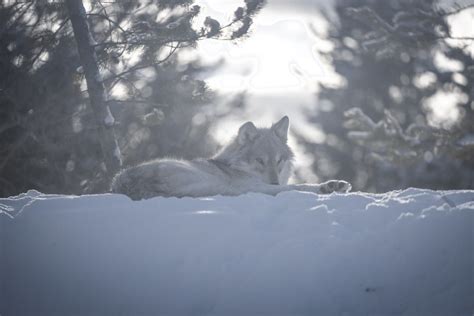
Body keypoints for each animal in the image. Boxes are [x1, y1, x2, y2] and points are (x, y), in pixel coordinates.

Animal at [110, 116, 348, 200]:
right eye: (260, 161)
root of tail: (123, 185)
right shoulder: (253, 186)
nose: (274, 181)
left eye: (279, 160)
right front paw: (329, 186)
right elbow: (297, 186)